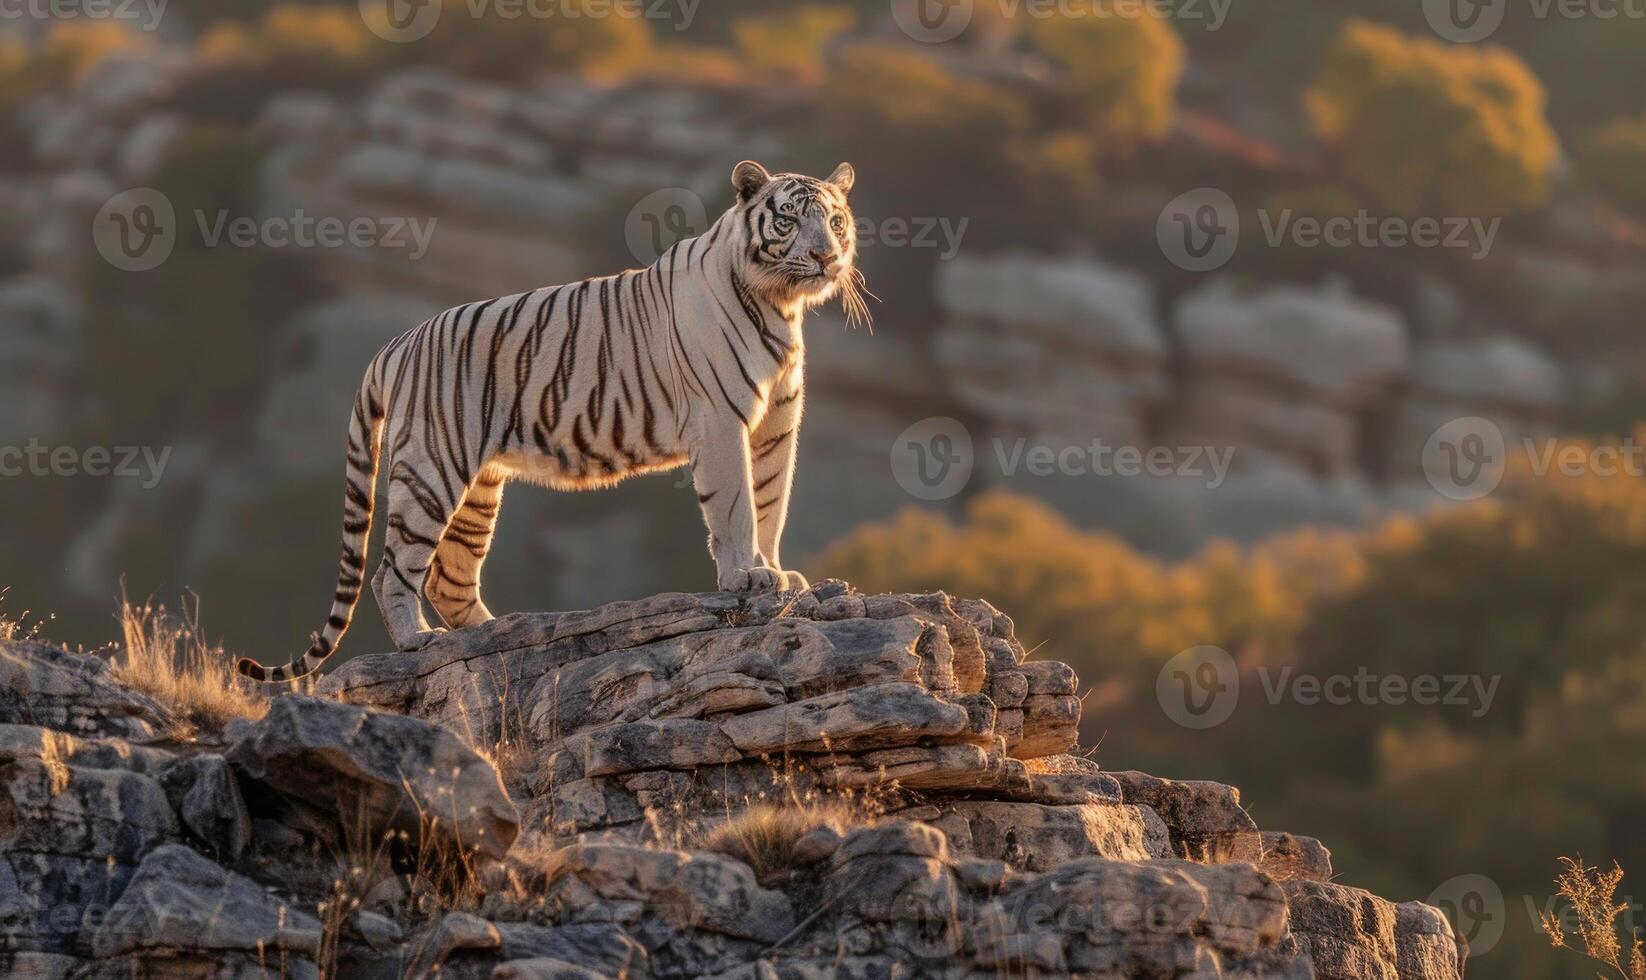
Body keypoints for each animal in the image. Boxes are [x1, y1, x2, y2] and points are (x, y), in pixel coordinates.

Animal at [240, 161, 875, 681]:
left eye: (835, 221)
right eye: (790, 219)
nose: (826, 256)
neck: (781, 304)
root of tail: (395, 345)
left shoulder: (776, 426)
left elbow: (771, 503)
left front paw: (778, 572)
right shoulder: (721, 421)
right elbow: (738, 505)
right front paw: (747, 577)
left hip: (479, 485)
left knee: (449, 574)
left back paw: (494, 633)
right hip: (431, 468)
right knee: (394, 569)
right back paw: (419, 642)